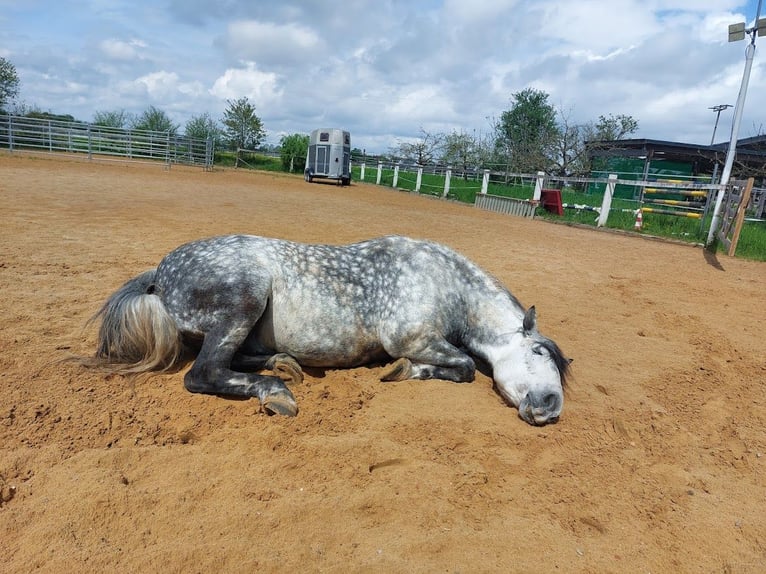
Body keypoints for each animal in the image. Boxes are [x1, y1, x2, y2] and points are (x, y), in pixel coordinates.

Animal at [83, 234, 571, 426]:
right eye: (538, 353)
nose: (551, 407)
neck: (443, 281)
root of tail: (161, 273)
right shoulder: (411, 338)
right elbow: (466, 365)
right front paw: (404, 371)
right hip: (244, 299)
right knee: (203, 373)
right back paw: (276, 391)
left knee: (234, 359)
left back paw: (285, 364)